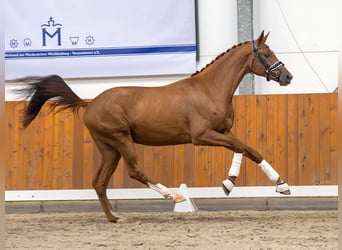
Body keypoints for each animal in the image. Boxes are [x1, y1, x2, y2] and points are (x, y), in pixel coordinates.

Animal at [18, 30, 292, 222]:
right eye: (266, 53)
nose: (288, 76)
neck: (209, 89)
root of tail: (90, 103)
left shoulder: (223, 131)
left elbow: (247, 149)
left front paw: (276, 185)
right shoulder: (202, 136)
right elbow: (242, 147)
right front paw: (235, 185)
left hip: (109, 149)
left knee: (99, 182)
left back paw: (114, 218)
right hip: (121, 140)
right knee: (135, 171)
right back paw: (174, 195)